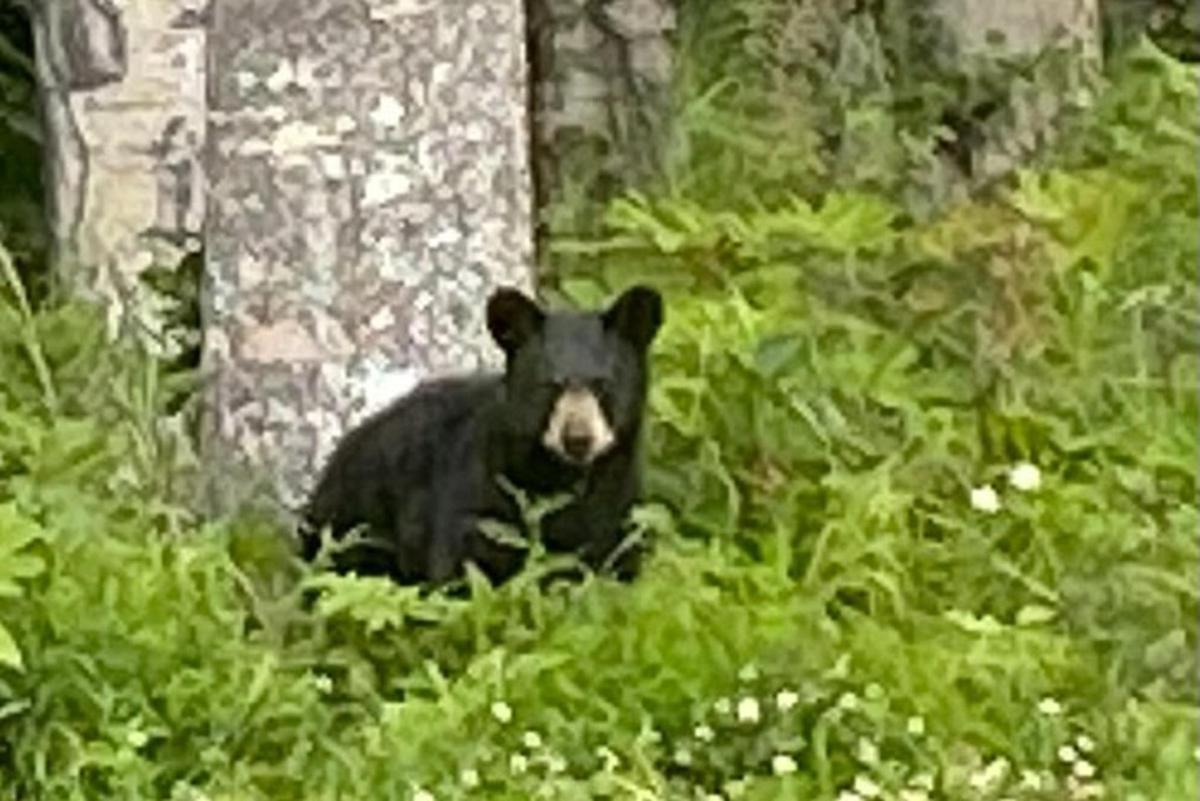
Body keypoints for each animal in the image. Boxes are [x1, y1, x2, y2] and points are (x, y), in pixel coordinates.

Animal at [295, 284, 662, 585]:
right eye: (550, 385)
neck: (562, 479)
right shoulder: (479, 501)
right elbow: (463, 566)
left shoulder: (620, 511)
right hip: (355, 527)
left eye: (602, 384)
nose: (578, 439)